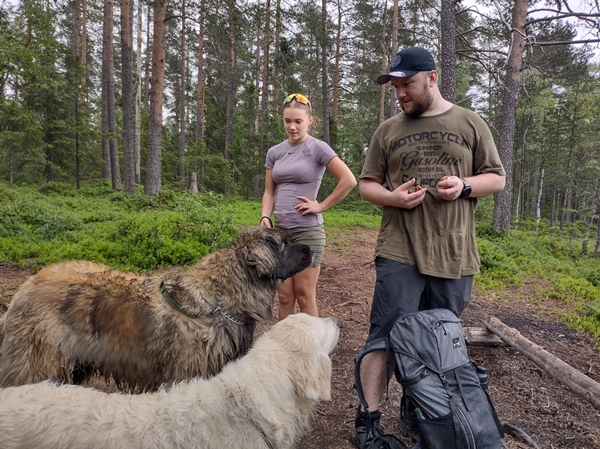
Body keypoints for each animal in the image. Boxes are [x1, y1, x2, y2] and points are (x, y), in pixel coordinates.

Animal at [0, 228, 312, 388]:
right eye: (285, 244)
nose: (310, 248)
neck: (219, 301)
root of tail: (25, 288)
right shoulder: (187, 374)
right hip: (37, 364)